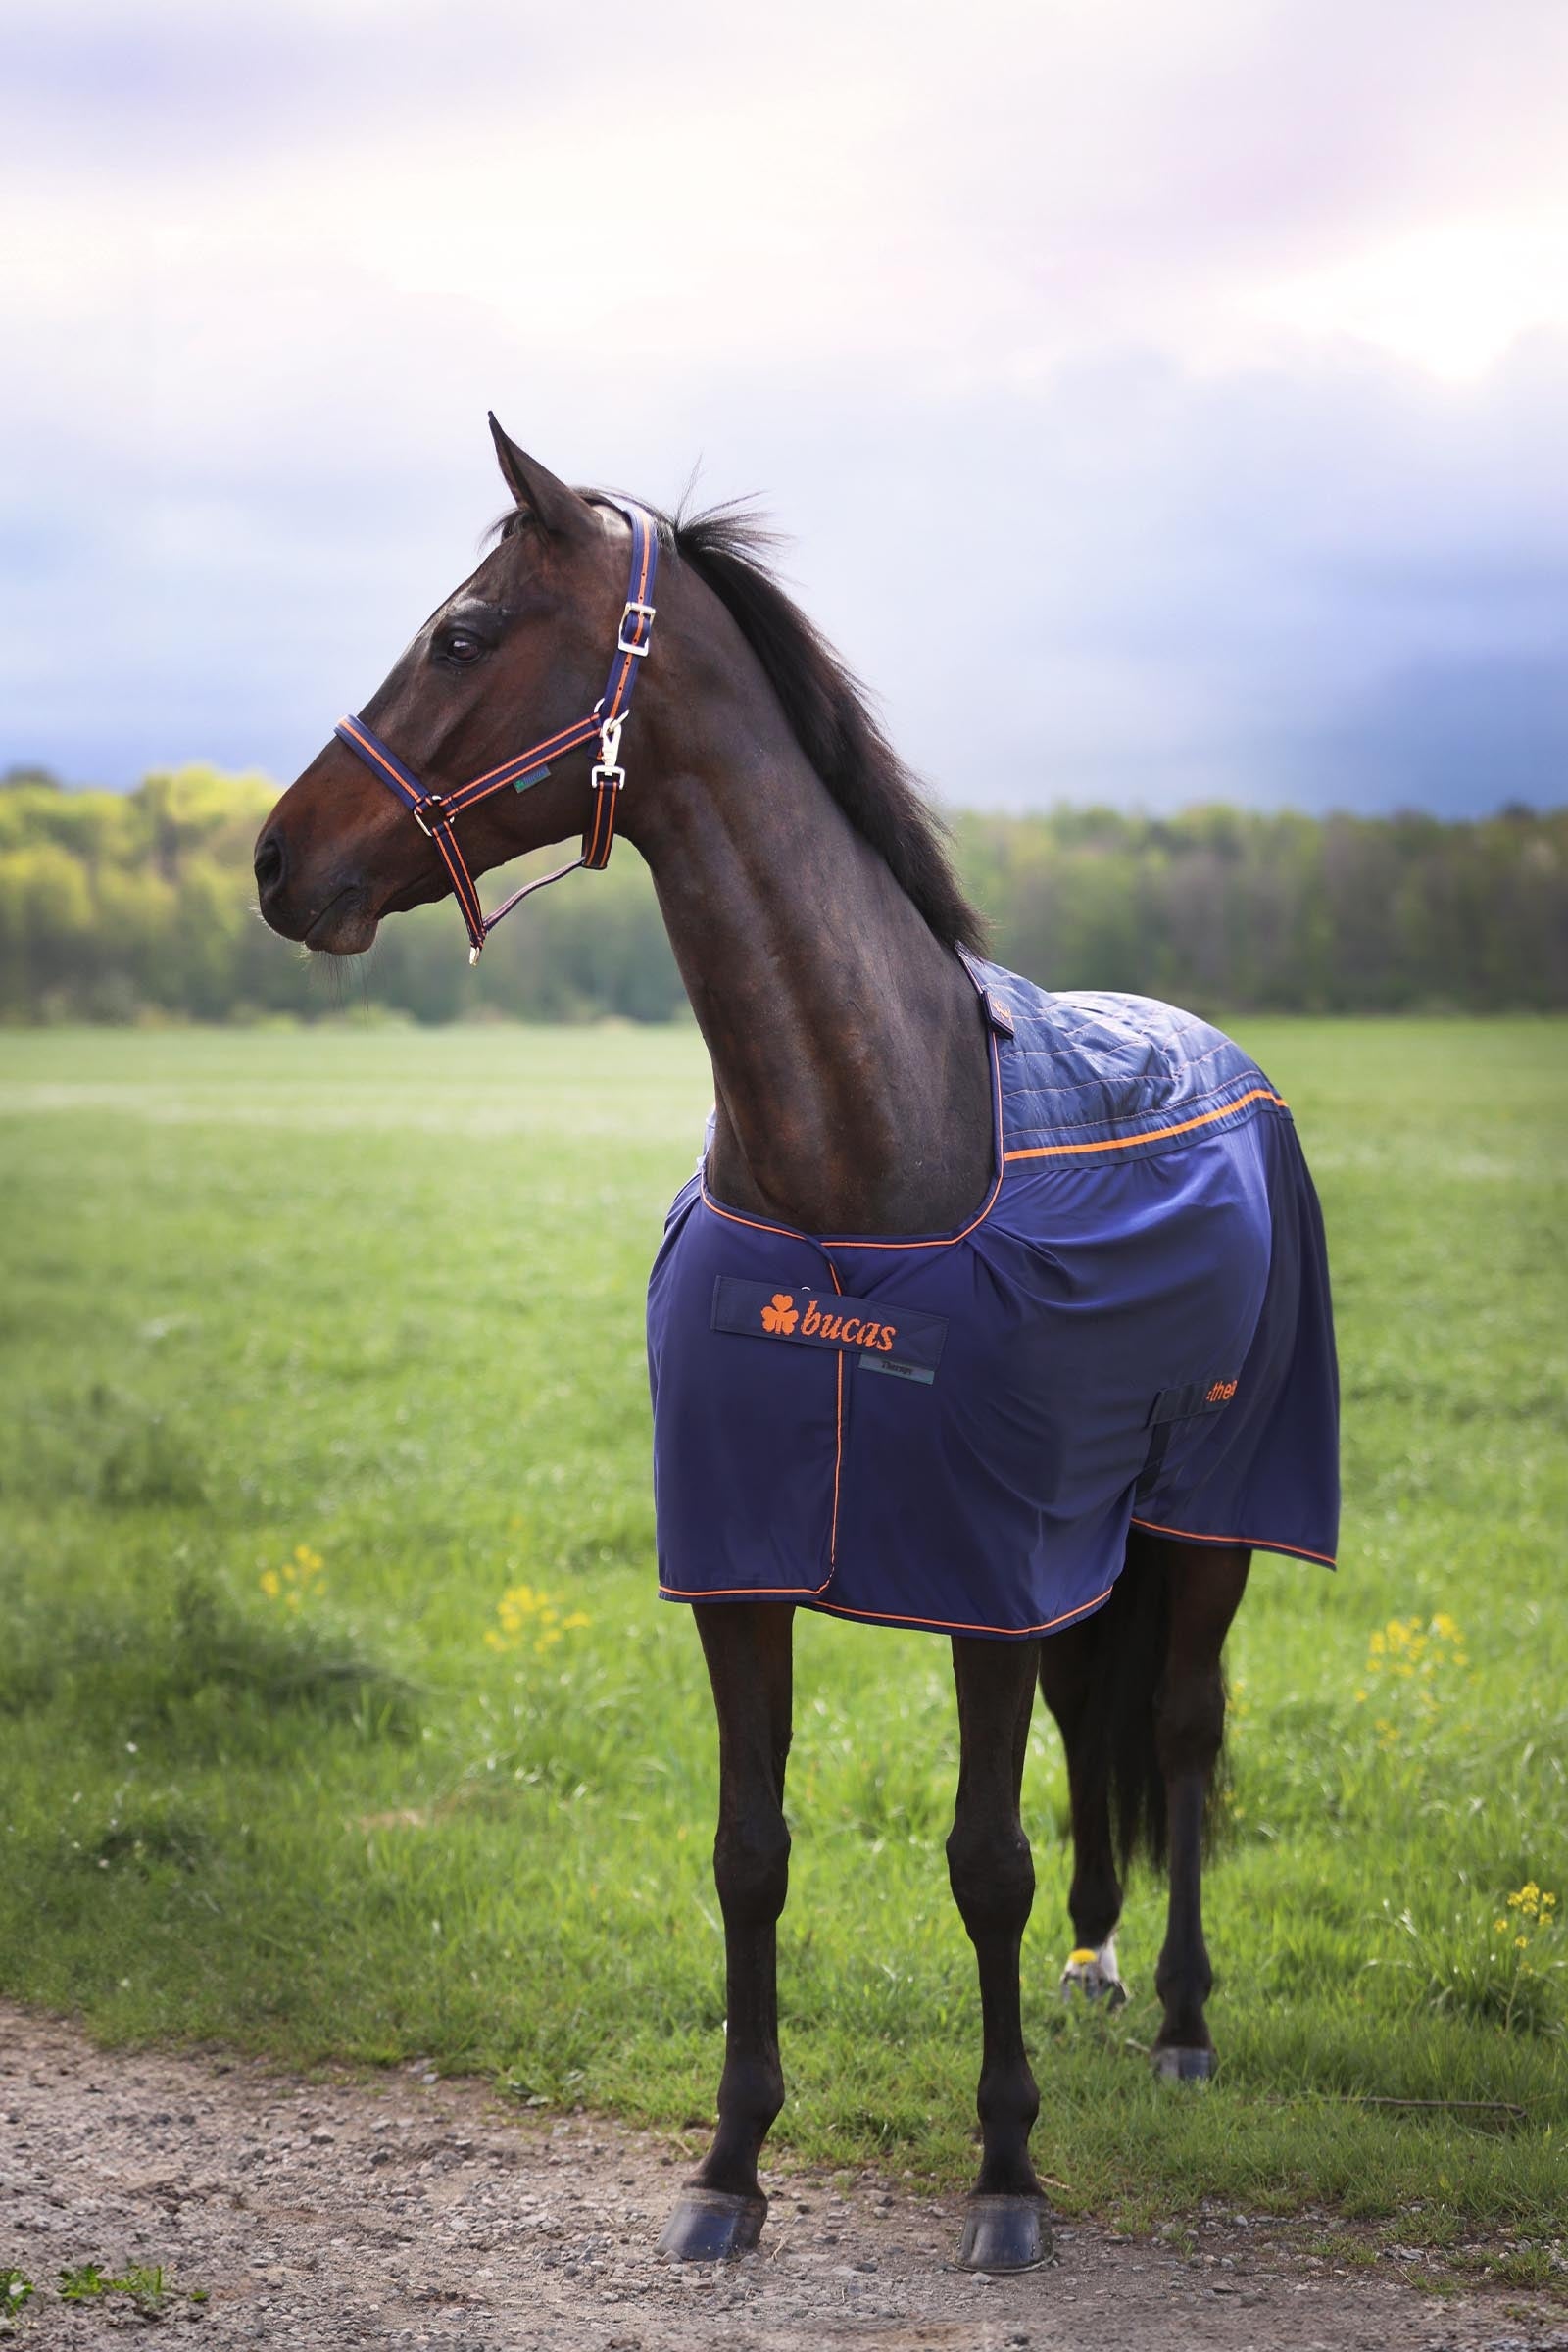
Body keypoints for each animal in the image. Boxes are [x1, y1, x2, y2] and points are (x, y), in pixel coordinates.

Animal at [254, 418, 1339, 2274]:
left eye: (464, 635)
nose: (272, 858)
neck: (861, 1150)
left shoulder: (978, 1572)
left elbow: (983, 1860)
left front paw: (1006, 2179)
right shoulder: (759, 1566)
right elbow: (749, 1851)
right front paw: (731, 2163)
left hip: (1207, 1518)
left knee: (1185, 1732)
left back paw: (1187, 2020)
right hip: (1090, 1542)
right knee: (1100, 1727)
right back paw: (1095, 1971)